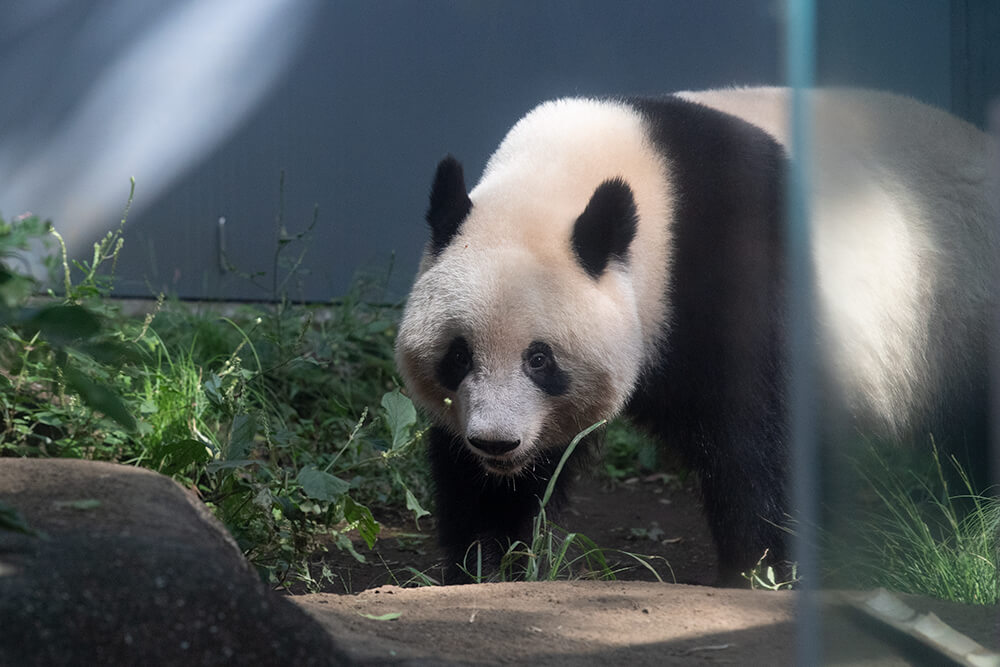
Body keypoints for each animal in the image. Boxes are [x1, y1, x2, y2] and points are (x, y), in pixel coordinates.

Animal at [394, 87, 996, 584]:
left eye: (539, 359)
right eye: (458, 355)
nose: (496, 443)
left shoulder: (737, 265)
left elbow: (758, 440)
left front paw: (762, 573)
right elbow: (489, 481)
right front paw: (486, 565)